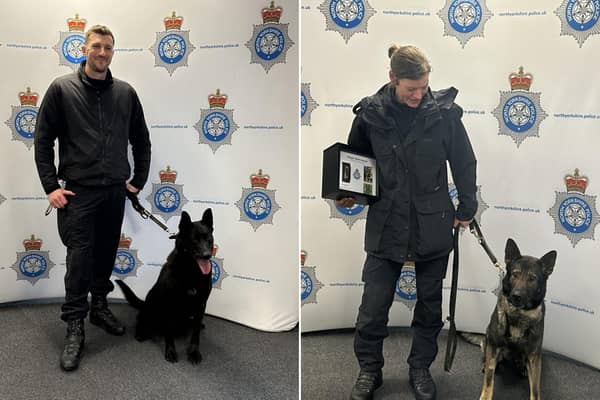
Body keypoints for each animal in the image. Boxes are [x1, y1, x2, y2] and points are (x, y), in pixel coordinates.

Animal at [115, 211, 213, 364]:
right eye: (194, 240)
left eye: (208, 239)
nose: (207, 255)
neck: (191, 271)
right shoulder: (169, 305)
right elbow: (169, 332)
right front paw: (171, 351)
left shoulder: (201, 304)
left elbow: (195, 333)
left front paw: (194, 352)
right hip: (151, 306)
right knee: (141, 319)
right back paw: (140, 332)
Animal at [478, 239, 556, 398]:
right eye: (515, 274)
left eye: (532, 278)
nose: (516, 296)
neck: (520, 314)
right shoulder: (494, 347)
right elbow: (488, 380)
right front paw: (485, 396)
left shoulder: (534, 356)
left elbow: (535, 389)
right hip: (488, 338)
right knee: (486, 355)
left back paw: (521, 367)